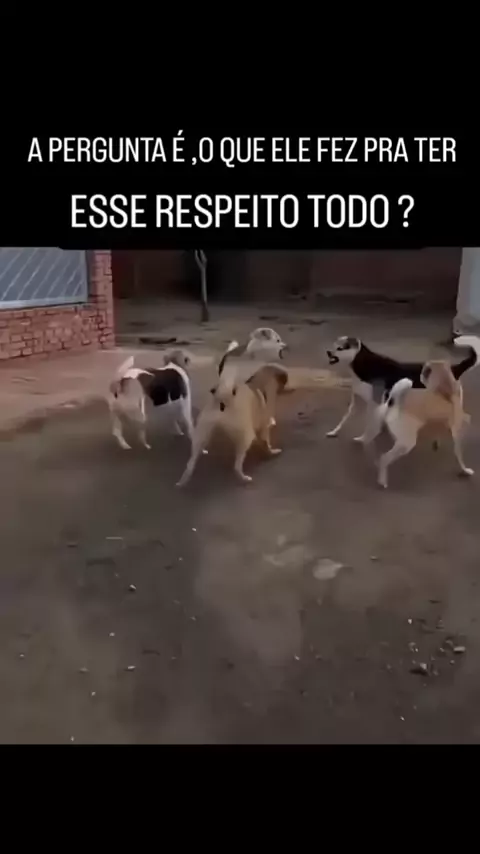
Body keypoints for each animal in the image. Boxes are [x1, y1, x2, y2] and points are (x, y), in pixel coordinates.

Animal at [325, 334, 480, 444]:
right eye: (334, 345)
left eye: (340, 348)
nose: (328, 352)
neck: (363, 363)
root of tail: (454, 368)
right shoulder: (358, 401)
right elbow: (344, 419)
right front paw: (334, 431)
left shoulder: (374, 403)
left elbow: (370, 424)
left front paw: (364, 438)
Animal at [375, 359, 473, 488]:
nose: (421, 373)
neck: (445, 390)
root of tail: (395, 402)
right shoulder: (457, 433)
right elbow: (459, 455)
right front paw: (465, 470)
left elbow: (438, 433)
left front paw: (436, 443)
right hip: (407, 443)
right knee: (384, 458)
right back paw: (382, 481)